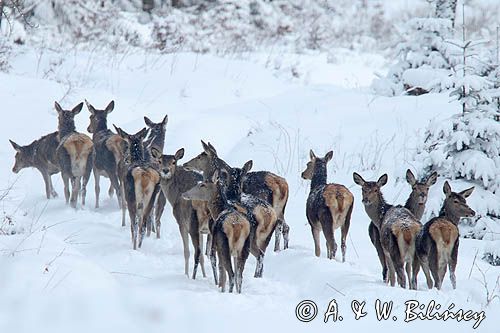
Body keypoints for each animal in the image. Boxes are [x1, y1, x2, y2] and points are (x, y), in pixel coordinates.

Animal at [149, 147, 210, 278]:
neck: (174, 197)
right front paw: (205, 276)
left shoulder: (182, 222)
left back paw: (192, 277)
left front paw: (186, 274)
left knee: (197, 252)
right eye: (159, 161)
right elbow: (202, 256)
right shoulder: (202, 230)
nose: (165, 170)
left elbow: (186, 252)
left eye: (174, 162)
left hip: (193, 223)